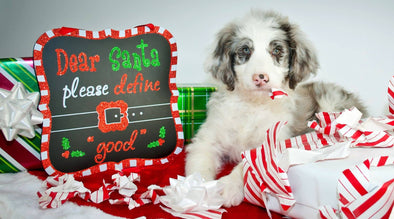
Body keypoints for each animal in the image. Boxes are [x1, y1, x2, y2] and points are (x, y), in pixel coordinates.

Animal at [185, 10, 366, 208]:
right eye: (246, 50)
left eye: (277, 51)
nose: (260, 77)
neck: (252, 105)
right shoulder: (207, 139)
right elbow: (200, 163)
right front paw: (194, 191)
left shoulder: (272, 142)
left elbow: (247, 165)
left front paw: (229, 185)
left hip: (331, 103)